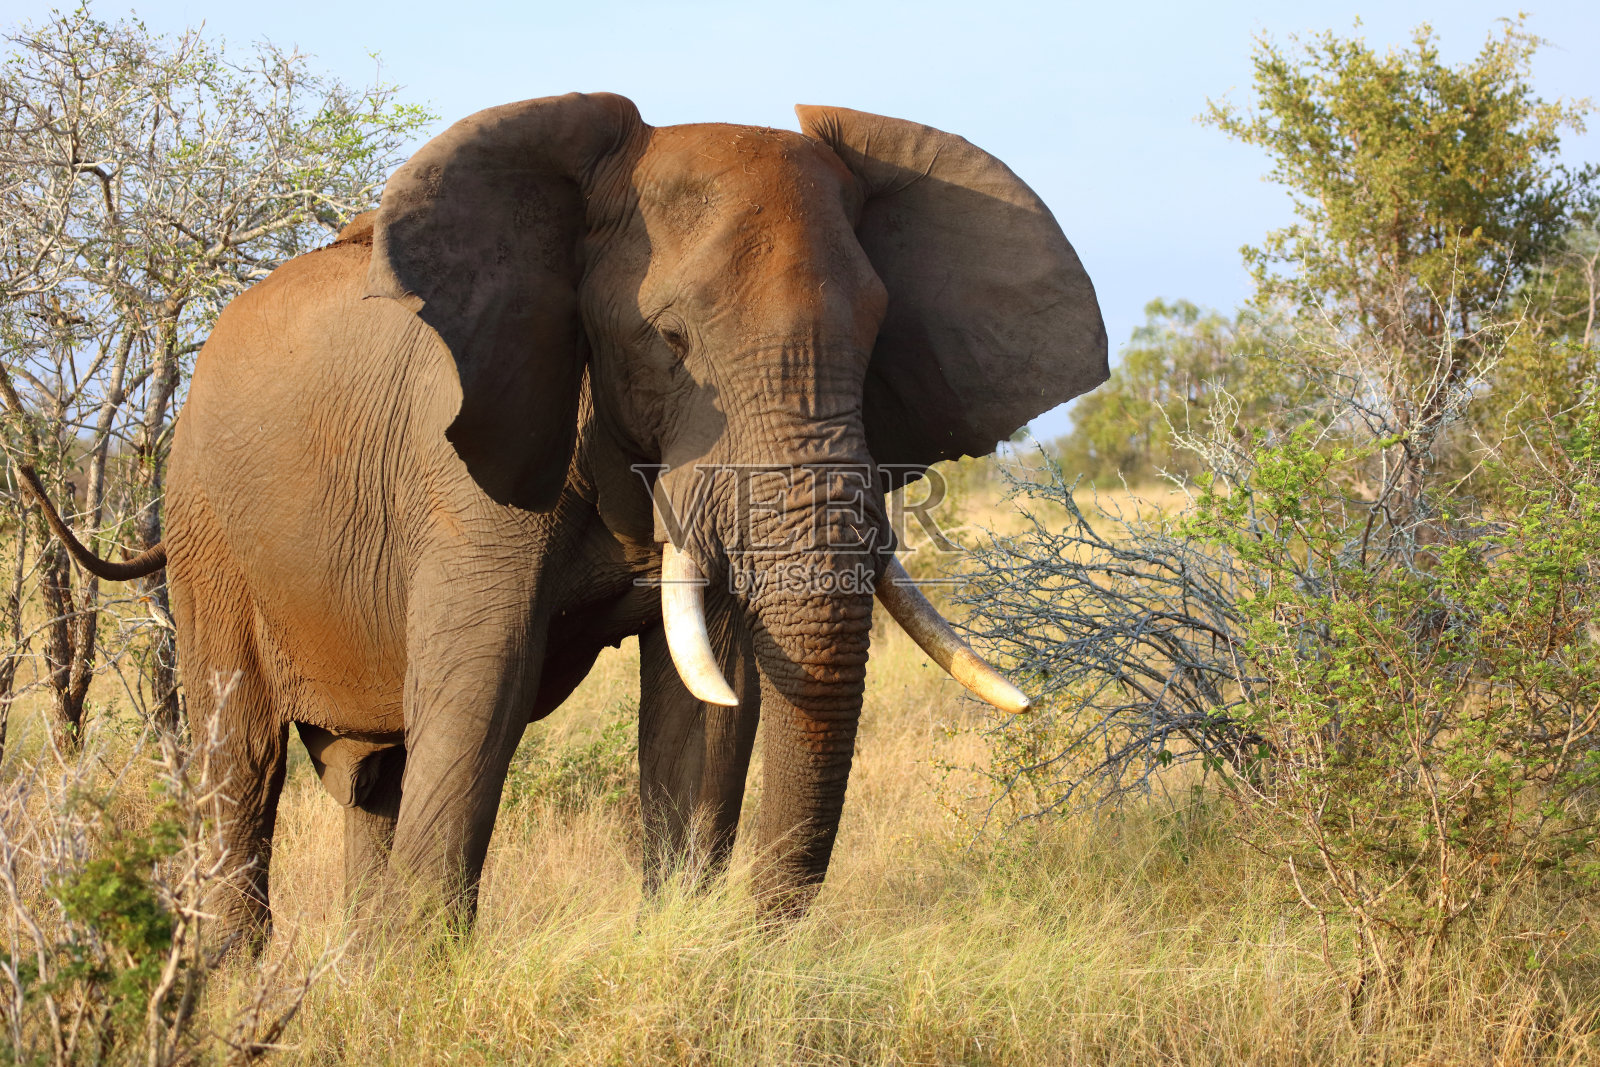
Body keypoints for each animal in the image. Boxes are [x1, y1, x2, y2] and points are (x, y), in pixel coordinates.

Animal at [24, 92, 1107, 948]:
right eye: (670, 341)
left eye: (877, 337)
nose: (765, 937)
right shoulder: (469, 470)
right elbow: (483, 686)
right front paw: (428, 984)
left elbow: (709, 699)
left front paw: (678, 938)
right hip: (207, 527)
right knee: (239, 761)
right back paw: (232, 986)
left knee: (374, 779)